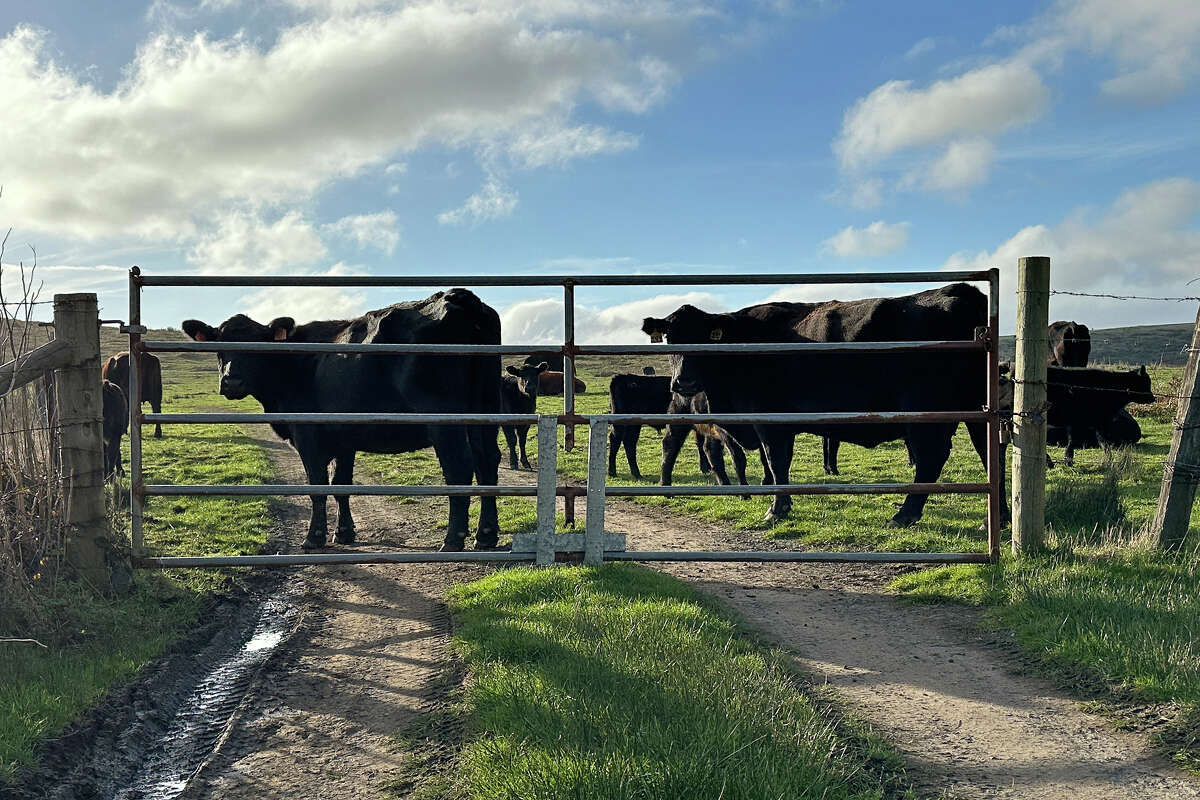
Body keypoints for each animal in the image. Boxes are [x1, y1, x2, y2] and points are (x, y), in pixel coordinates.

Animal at [184, 291, 504, 554]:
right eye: (219, 347)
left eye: (256, 347)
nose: (231, 381)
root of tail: (457, 296)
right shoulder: (344, 438)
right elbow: (341, 484)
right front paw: (345, 532)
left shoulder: (307, 435)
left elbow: (317, 486)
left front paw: (314, 537)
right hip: (485, 408)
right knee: (486, 461)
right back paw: (486, 535)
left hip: (443, 417)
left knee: (459, 468)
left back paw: (453, 539)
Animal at [648, 284, 1003, 527]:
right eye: (669, 338)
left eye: (707, 337)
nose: (684, 383)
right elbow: (773, 464)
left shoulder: (769, 421)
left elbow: (777, 463)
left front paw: (776, 510)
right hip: (977, 409)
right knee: (988, 452)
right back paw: (998, 520)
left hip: (926, 412)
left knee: (932, 457)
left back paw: (904, 515)